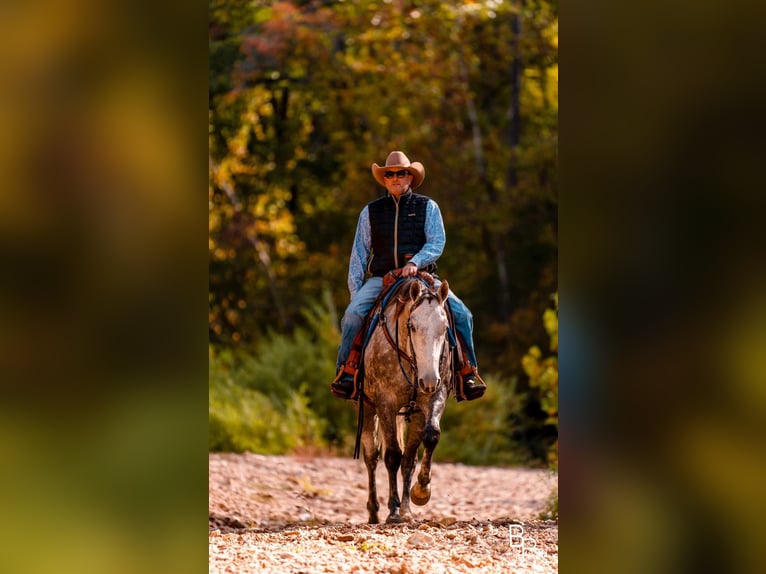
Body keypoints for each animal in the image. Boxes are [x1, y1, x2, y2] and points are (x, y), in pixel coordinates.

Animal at [356, 280, 452, 528]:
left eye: (444, 327)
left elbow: (425, 443)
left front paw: (418, 495)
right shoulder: (386, 403)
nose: (429, 380)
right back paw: (373, 512)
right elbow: (392, 456)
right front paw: (394, 512)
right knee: (371, 457)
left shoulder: (432, 399)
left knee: (407, 457)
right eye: (412, 325)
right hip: (367, 410)